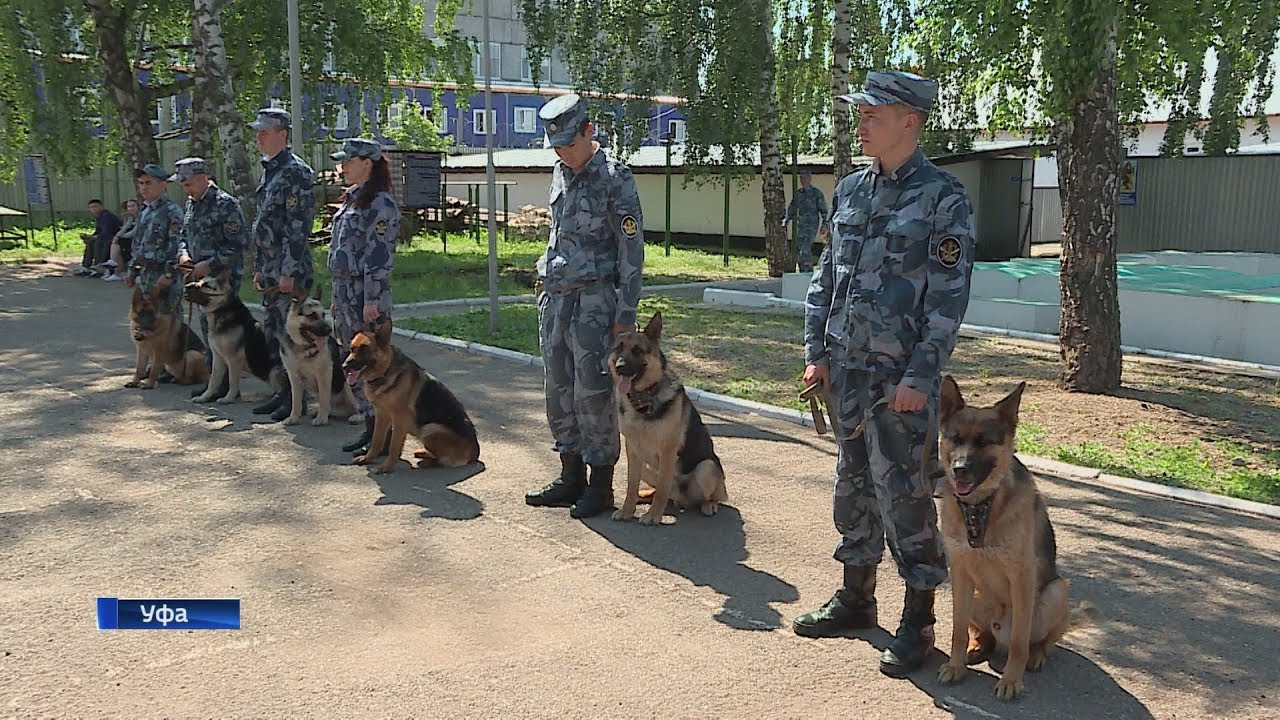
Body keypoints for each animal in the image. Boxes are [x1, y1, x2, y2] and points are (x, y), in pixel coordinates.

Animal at [181, 270, 276, 404]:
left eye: (206, 285)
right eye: (199, 281)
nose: (186, 286)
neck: (222, 310)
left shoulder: (233, 359)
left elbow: (232, 380)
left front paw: (228, 398)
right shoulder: (217, 358)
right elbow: (213, 381)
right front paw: (205, 397)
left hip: (274, 371)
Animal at [281, 283, 360, 422]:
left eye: (323, 315)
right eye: (311, 315)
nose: (329, 330)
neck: (303, 347)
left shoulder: (324, 374)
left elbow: (324, 398)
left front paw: (321, 418)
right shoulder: (293, 376)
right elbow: (296, 400)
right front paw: (294, 417)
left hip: (347, 385)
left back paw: (355, 416)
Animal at [340, 317, 481, 474]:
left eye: (364, 350)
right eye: (352, 349)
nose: (344, 366)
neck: (385, 372)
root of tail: (475, 453)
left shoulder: (398, 420)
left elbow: (394, 446)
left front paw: (386, 467)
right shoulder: (381, 415)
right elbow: (377, 440)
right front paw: (367, 458)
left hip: (429, 429)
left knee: (443, 460)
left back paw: (427, 462)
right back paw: (424, 453)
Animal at [604, 311, 727, 525]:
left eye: (637, 350)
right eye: (618, 348)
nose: (619, 367)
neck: (644, 397)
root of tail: (681, 499)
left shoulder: (668, 451)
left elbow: (662, 487)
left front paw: (653, 516)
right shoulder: (632, 450)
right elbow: (631, 485)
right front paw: (627, 510)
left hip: (707, 467)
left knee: (706, 495)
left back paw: (708, 504)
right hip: (647, 467)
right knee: (661, 492)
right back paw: (644, 495)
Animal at [931, 379, 1090, 696]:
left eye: (983, 442)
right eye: (955, 439)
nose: (959, 470)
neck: (981, 507)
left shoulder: (1022, 578)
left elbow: (1019, 641)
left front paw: (1011, 681)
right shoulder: (960, 574)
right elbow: (957, 630)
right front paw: (956, 666)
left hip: (1055, 592)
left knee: (1038, 641)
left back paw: (1036, 656)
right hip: (976, 595)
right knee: (982, 635)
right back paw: (977, 647)